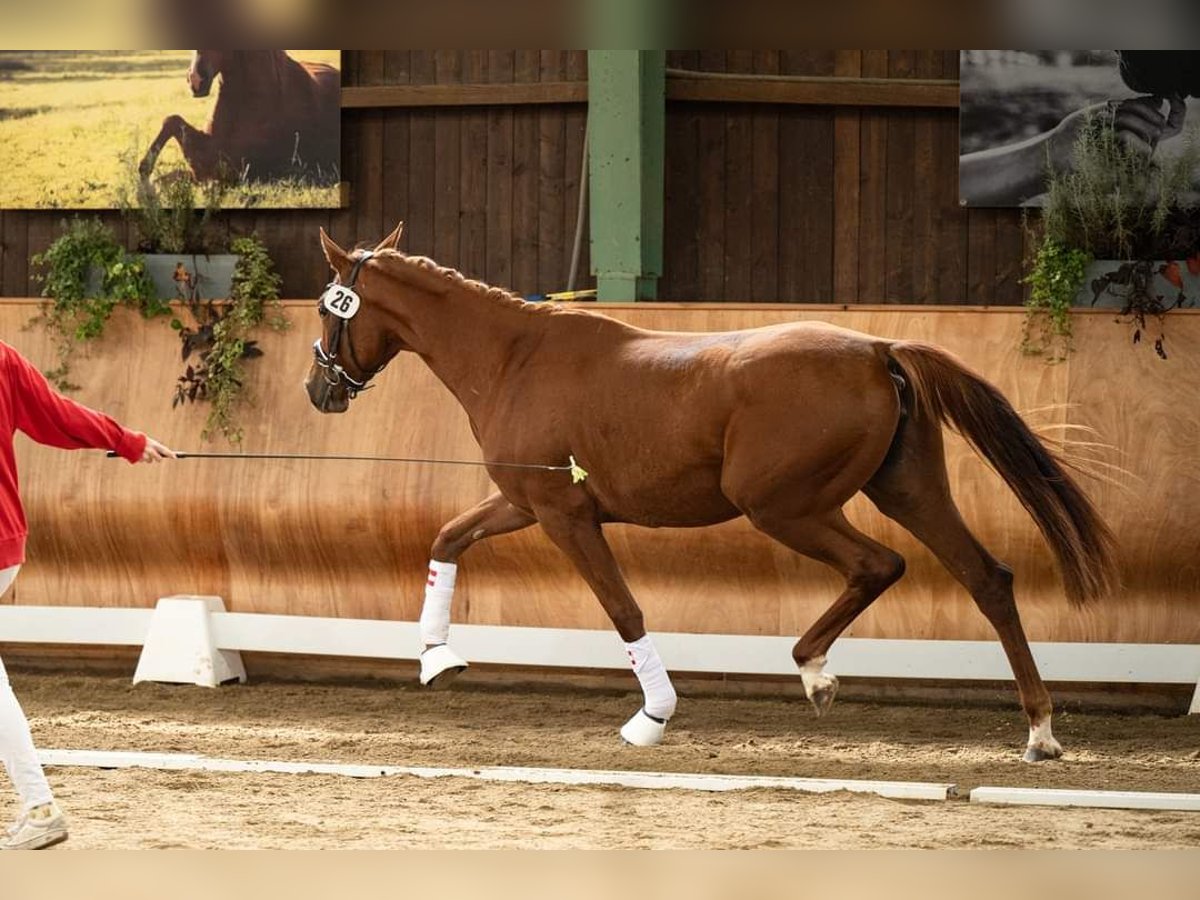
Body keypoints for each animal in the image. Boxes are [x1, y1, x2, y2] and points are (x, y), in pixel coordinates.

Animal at [304, 222, 1118, 763]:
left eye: (326, 307)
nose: (319, 390)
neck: (514, 359)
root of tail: (877, 348)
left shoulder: (565, 515)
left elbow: (623, 608)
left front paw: (653, 718)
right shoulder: (527, 503)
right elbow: (448, 537)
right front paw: (436, 657)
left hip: (785, 507)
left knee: (878, 565)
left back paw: (817, 674)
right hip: (907, 492)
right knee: (987, 578)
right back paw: (1039, 731)